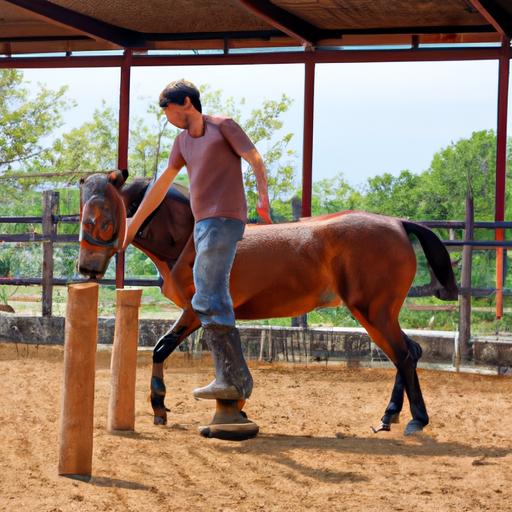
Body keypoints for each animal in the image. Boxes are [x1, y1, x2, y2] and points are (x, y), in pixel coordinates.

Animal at [79, 170, 456, 442]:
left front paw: (228, 409)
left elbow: (200, 353)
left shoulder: (199, 311)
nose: (86, 268)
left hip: (373, 312)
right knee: (408, 352)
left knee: (404, 355)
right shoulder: (193, 313)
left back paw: (413, 421)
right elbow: (161, 348)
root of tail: (398, 223)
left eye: (103, 217)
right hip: (379, 313)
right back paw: (391, 417)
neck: (188, 240)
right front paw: (161, 408)